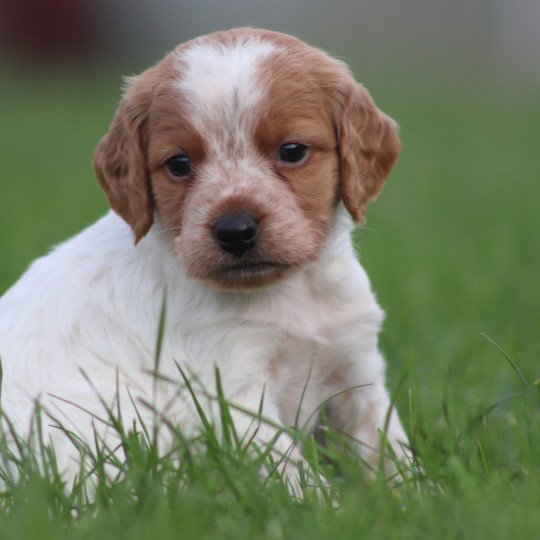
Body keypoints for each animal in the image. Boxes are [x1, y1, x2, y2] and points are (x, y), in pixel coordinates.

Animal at [0, 27, 410, 488]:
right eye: (179, 163)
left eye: (292, 151)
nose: (235, 230)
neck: (292, 293)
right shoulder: (234, 395)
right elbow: (294, 475)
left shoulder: (356, 367)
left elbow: (387, 446)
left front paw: (411, 493)